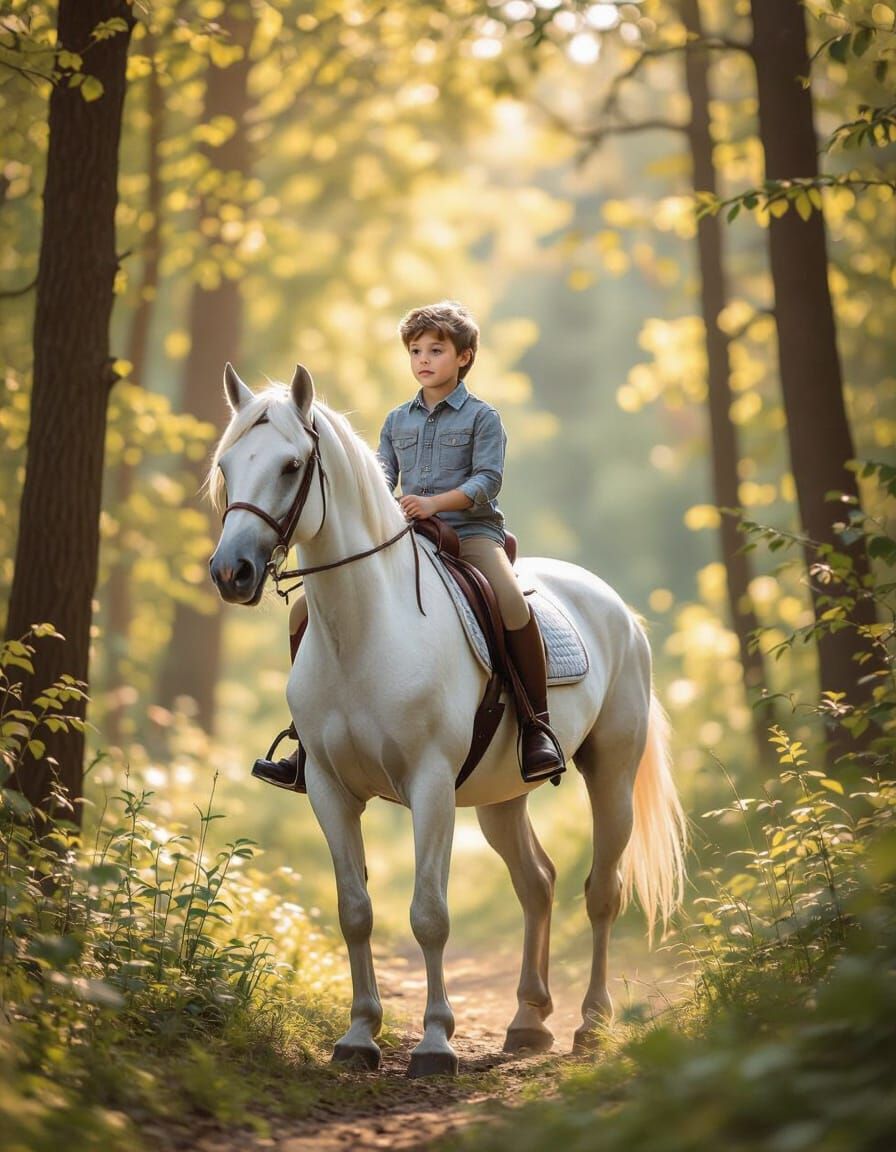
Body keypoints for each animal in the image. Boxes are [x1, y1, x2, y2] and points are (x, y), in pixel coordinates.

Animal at [208, 363, 687, 1078]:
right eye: (227, 465)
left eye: (292, 466)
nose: (230, 572)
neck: (365, 627)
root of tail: (619, 610)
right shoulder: (328, 789)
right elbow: (355, 911)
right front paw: (359, 1036)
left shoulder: (429, 786)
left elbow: (429, 915)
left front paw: (436, 1043)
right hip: (501, 798)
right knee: (537, 884)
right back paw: (528, 1023)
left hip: (611, 773)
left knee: (603, 890)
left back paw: (592, 1025)